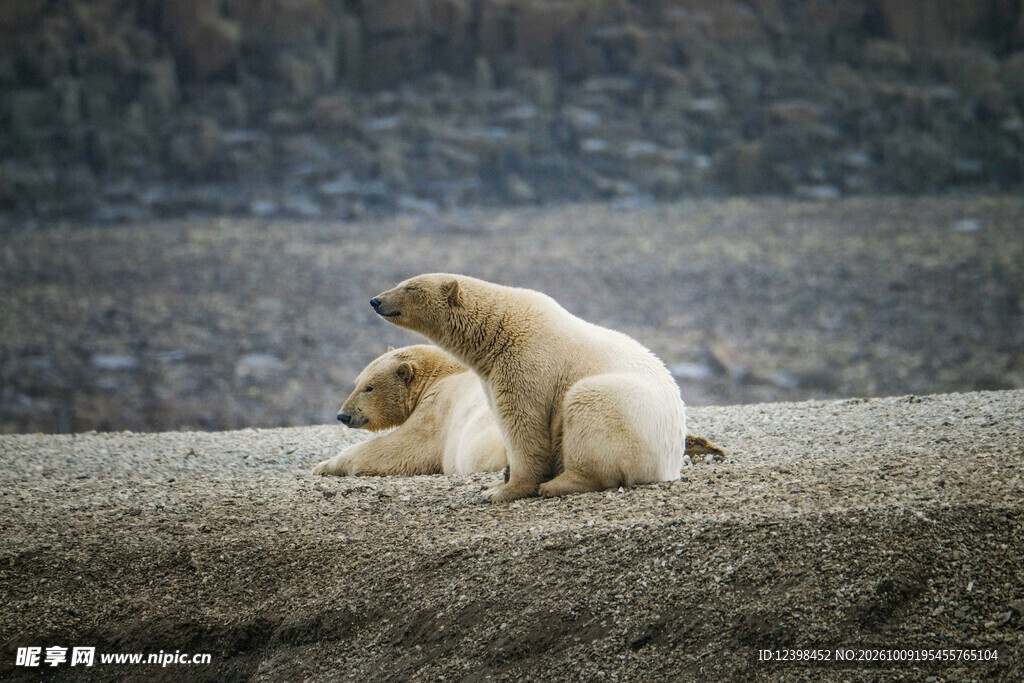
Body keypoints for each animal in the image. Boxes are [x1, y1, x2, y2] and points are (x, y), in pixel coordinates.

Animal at [312, 344, 507, 477]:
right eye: (356, 383)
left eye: (369, 388)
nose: (343, 415)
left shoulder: (436, 409)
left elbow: (400, 449)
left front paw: (323, 466)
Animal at [369, 273, 689, 501]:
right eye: (400, 282)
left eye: (410, 287)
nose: (375, 300)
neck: (498, 328)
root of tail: (670, 462)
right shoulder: (492, 373)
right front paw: (501, 479)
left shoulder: (527, 362)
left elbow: (523, 424)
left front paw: (502, 490)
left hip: (628, 412)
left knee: (588, 409)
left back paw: (559, 483)